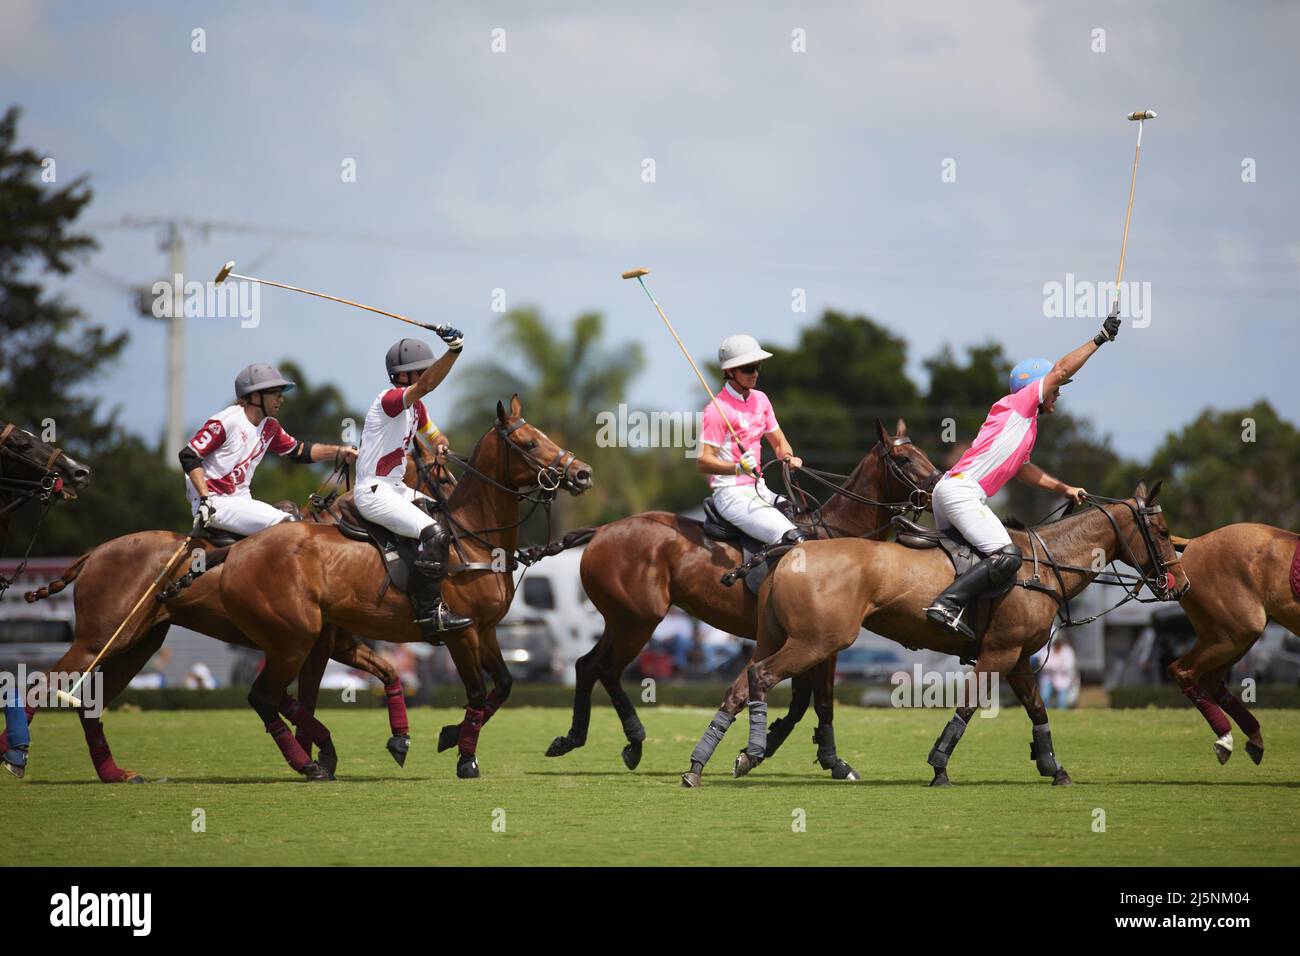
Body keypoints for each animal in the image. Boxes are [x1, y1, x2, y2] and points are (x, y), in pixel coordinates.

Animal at [219, 395, 595, 780]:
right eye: (530, 443)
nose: (583, 473)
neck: (474, 539)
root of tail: (237, 552)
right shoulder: (460, 633)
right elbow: (476, 692)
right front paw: (466, 760)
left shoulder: (486, 630)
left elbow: (503, 686)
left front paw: (450, 736)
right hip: (294, 639)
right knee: (265, 696)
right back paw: (309, 762)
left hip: (305, 639)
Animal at [543, 418, 941, 780]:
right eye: (904, 458)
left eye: (923, 452)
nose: (938, 487)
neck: (837, 535)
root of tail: (601, 530)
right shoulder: (821, 642)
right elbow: (821, 702)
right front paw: (827, 761)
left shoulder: (807, 641)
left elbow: (803, 701)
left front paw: (784, 749)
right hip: (638, 620)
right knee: (605, 668)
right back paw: (630, 742)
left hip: (621, 619)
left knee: (588, 665)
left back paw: (577, 739)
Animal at [681, 481, 1190, 790]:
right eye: (1164, 530)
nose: (1180, 584)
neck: (1044, 566)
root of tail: (788, 553)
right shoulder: (998, 653)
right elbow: (967, 707)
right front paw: (940, 766)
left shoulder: (1018, 657)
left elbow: (1038, 709)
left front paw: (1053, 767)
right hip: (816, 642)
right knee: (762, 678)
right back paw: (750, 752)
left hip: (778, 636)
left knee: (739, 684)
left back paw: (698, 765)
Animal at [1170, 522, 1300, 764]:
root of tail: (1195, 542)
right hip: (1234, 632)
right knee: (1183, 671)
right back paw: (1225, 740)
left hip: (1234, 637)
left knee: (1210, 680)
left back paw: (1252, 739)